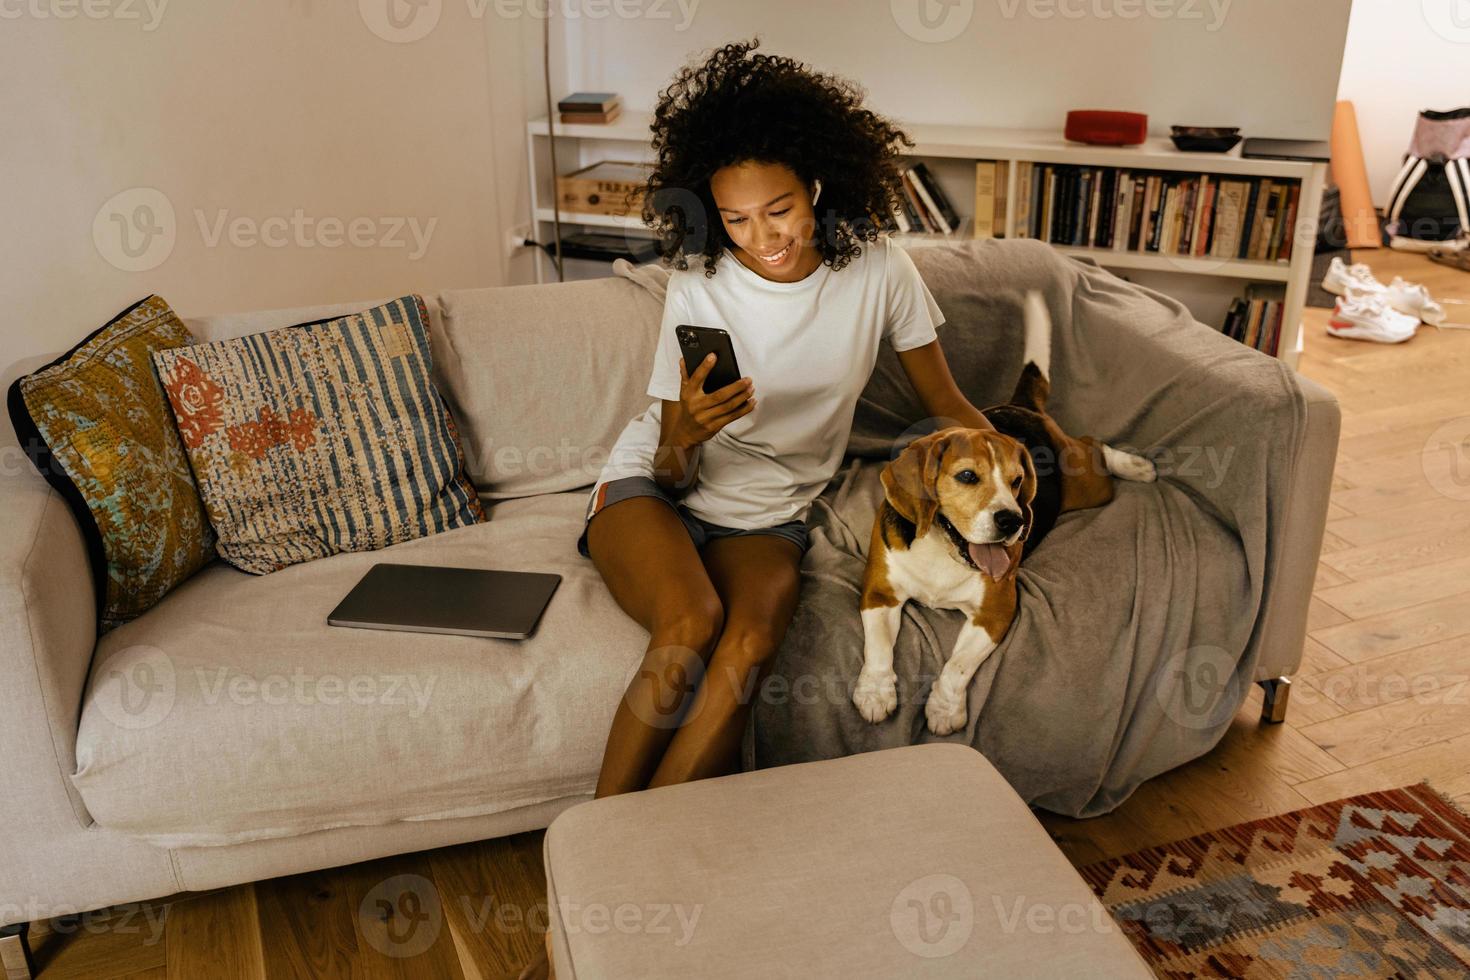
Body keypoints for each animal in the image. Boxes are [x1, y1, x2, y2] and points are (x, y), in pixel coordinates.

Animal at [858, 290, 1152, 734]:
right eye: (967, 476)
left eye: (1016, 482)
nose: (1012, 521)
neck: (943, 552)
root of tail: (1021, 408)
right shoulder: (880, 592)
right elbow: (877, 646)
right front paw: (875, 692)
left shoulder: (997, 610)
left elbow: (958, 666)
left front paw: (945, 709)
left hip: (1086, 483)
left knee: (1094, 445)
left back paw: (1135, 465)